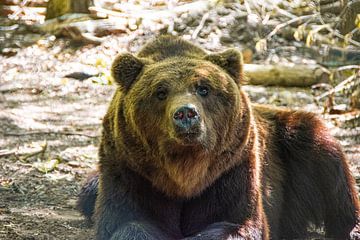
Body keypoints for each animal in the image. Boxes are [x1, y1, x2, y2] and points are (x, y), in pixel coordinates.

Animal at [77, 34, 358, 239]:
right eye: (160, 92)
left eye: (203, 88)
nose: (186, 114)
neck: (185, 173)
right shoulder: (132, 170)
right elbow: (126, 221)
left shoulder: (230, 171)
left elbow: (236, 223)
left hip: (293, 146)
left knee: (326, 161)